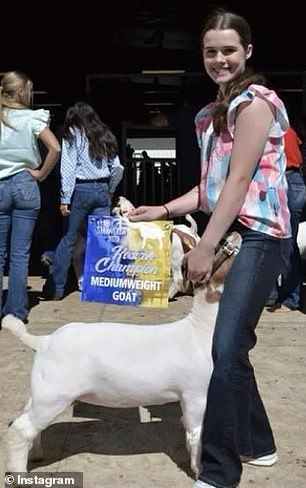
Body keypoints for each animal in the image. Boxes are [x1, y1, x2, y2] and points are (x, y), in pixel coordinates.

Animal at [2, 233, 241, 476]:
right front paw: (200, 471)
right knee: (20, 429)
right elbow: (196, 435)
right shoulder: (196, 395)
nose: (234, 234)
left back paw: (36, 454)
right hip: (54, 396)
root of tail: (44, 341)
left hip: (41, 393)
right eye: (220, 248)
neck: (200, 328)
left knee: (27, 422)